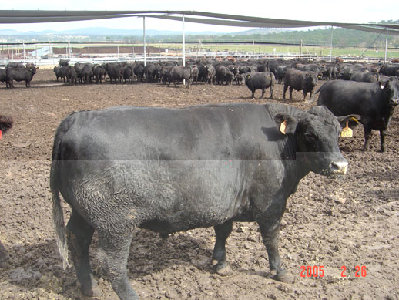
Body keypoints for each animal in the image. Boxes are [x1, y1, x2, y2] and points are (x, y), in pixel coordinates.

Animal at [50, 102, 350, 298]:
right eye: (310, 134)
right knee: (113, 263)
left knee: (77, 239)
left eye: (338, 133)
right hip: (117, 222)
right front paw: (281, 271)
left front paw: (220, 263)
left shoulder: (225, 201)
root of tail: (74, 119)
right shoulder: (271, 204)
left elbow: (223, 230)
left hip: (84, 212)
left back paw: (89, 288)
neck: (277, 142)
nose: (340, 165)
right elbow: (271, 239)